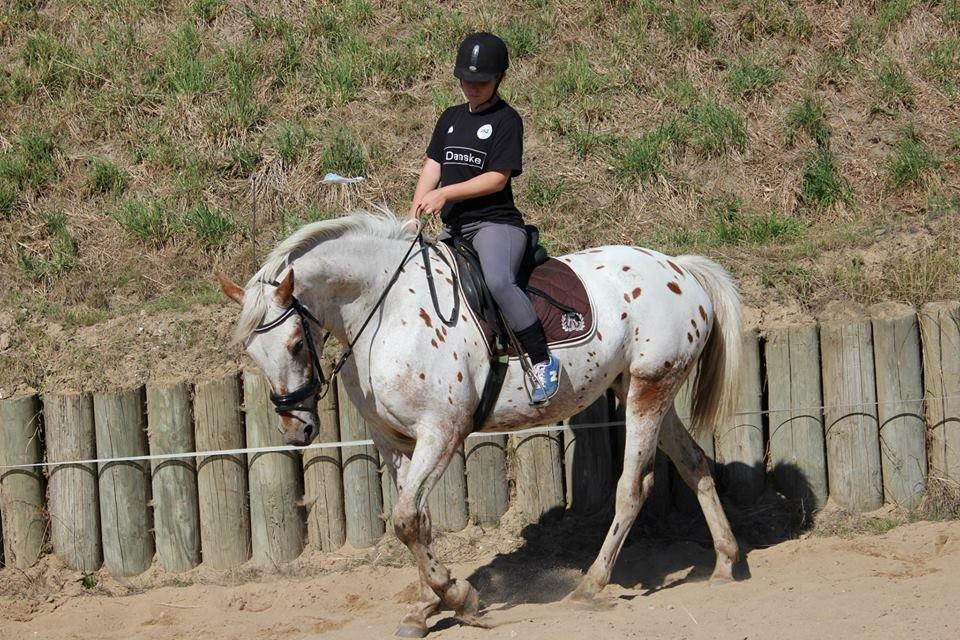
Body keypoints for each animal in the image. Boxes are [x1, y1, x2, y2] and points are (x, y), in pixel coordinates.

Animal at [218, 210, 744, 636]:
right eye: (252, 353)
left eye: (295, 345)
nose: (296, 430)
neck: (384, 311)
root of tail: (680, 268)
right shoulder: (395, 442)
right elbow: (419, 520)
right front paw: (426, 607)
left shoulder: (441, 432)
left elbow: (407, 520)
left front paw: (459, 599)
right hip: (642, 388)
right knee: (694, 463)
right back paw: (725, 562)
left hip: (648, 390)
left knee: (634, 486)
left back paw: (591, 586)